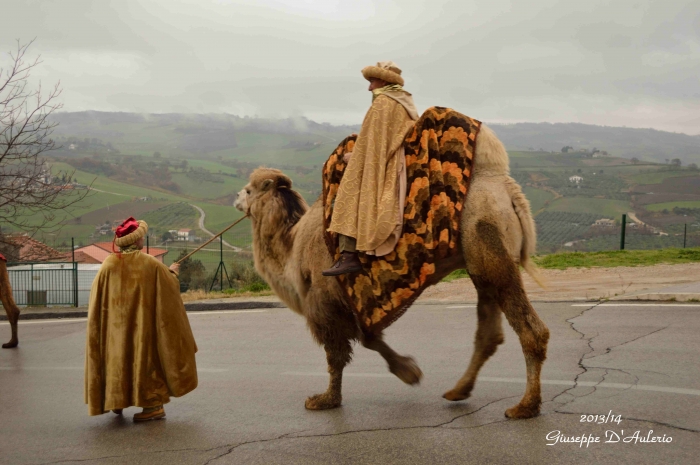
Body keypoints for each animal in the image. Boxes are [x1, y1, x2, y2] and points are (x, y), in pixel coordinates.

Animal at [235, 125, 552, 418]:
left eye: (249, 189)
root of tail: (509, 192)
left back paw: (525, 406)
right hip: (481, 264)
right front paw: (408, 371)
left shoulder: (323, 300)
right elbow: (369, 339)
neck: (292, 246)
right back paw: (459, 391)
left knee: (530, 329)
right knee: (488, 332)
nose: (237, 199)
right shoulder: (354, 300)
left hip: (489, 245)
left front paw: (325, 400)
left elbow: (336, 354)